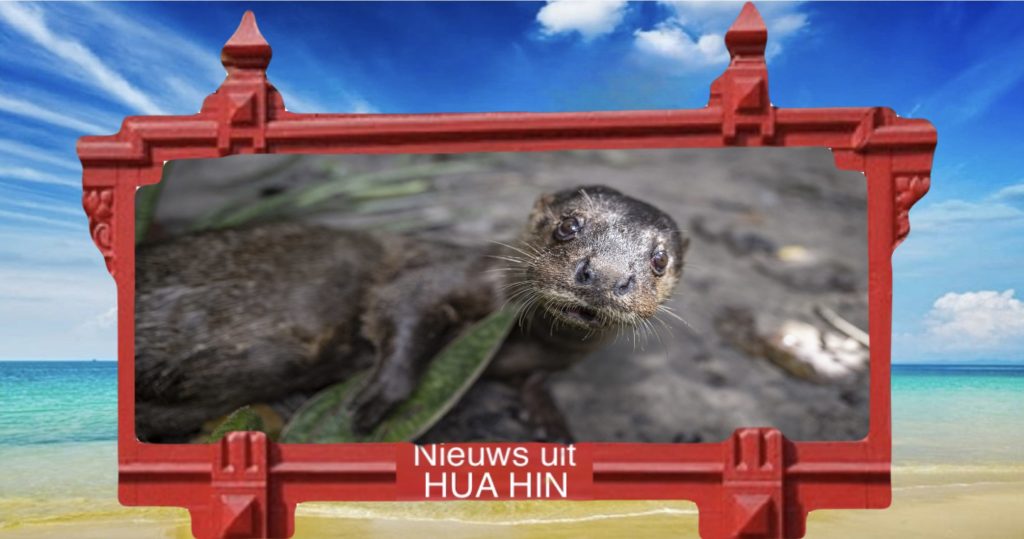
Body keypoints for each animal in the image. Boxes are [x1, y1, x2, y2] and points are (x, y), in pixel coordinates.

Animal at [135, 185, 688, 441]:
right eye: (568, 226)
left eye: (659, 259)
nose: (606, 276)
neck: (519, 340)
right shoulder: (441, 275)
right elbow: (403, 304)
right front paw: (375, 399)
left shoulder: (547, 359)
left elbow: (534, 381)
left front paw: (550, 421)